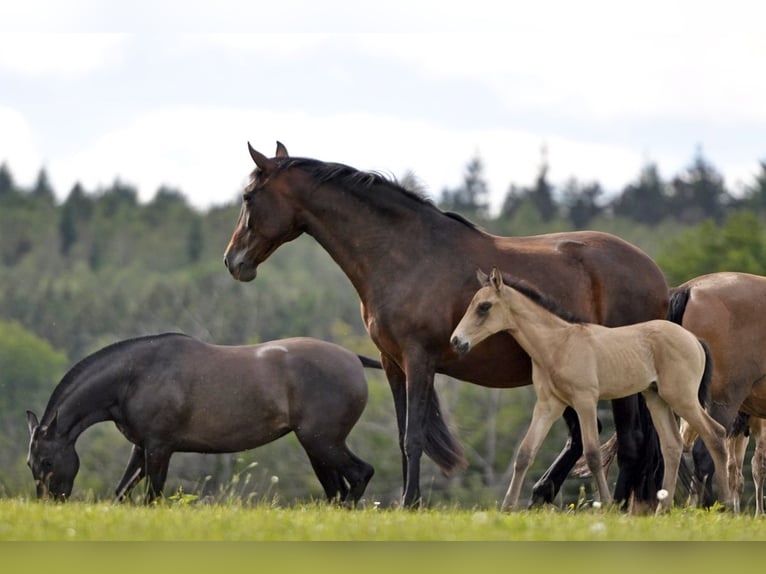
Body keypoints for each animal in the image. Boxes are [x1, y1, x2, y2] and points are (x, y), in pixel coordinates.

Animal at [26, 336, 378, 506]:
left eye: (46, 461)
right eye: (30, 464)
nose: (49, 503)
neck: (135, 377)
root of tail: (353, 358)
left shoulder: (159, 448)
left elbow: (152, 496)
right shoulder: (141, 448)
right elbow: (122, 492)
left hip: (323, 443)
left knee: (361, 475)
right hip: (317, 448)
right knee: (337, 491)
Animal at [224, 143, 672, 508]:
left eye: (248, 196)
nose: (233, 261)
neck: (406, 254)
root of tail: (654, 273)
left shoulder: (419, 359)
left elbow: (415, 435)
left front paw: (409, 502)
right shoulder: (393, 364)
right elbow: (403, 434)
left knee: (630, 442)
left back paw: (615, 507)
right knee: (585, 436)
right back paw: (541, 496)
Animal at [452, 268, 736, 516]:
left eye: (484, 306)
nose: (457, 341)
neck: (558, 344)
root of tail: (695, 340)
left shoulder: (584, 400)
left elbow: (592, 454)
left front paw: (607, 505)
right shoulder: (548, 404)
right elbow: (524, 453)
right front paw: (508, 507)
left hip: (682, 398)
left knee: (716, 434)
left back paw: (726, 505)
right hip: (656, 398)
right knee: (672, 445)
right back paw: (662, 510)